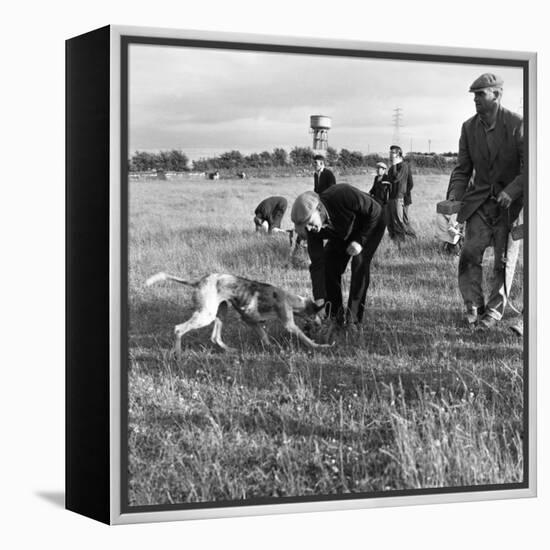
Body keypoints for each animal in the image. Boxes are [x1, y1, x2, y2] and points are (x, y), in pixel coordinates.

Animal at [146, 272, 332, 358]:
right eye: (320, 315)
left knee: (215, 337)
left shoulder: (251, 321)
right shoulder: (290, 326)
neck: (288, 298)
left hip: (221, 312)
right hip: (206, 316)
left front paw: (273, 349)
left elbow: (265, 338)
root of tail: (200, 280)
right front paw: (320, 346)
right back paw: (177, 354)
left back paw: (231, 350)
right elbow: (307, 340)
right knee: (178, 329)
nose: (322, 323)